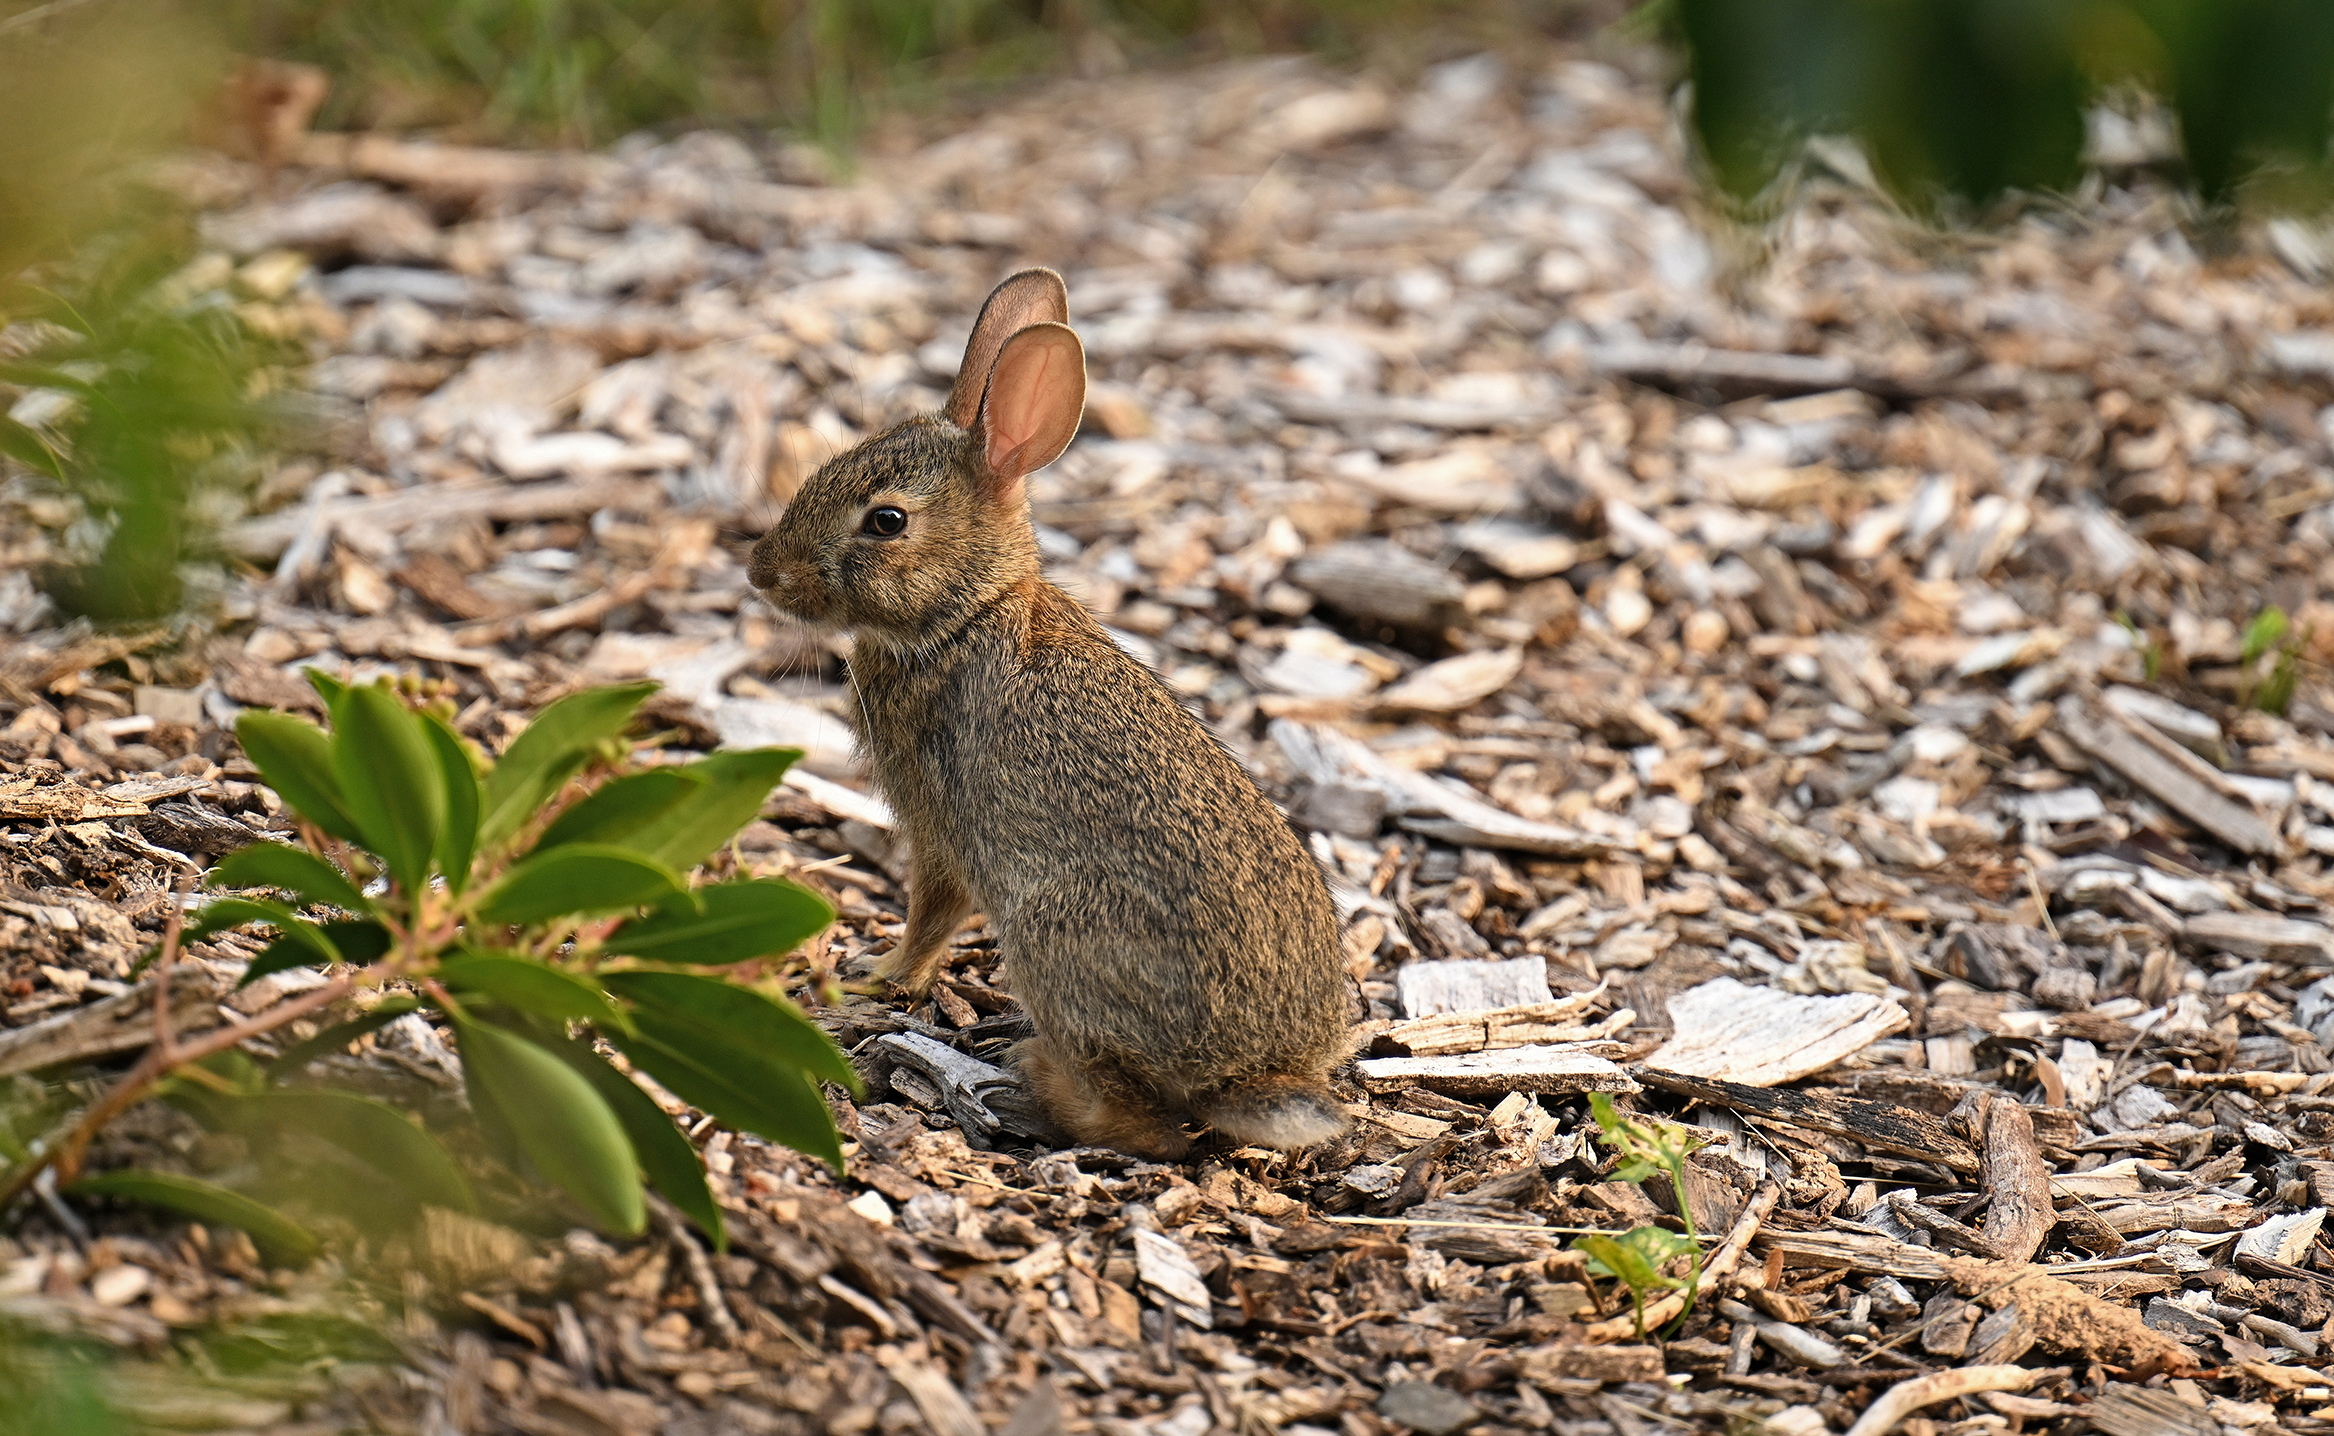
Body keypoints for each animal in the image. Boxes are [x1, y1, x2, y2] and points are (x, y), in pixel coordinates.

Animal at [748, 268, 1350, 1160]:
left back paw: (1030, 1072)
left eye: (886, 520)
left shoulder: (941, 822)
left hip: (1049, 934)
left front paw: (879, 975)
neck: (965, 614)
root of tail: (1253, 1076)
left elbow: (933, 911)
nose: (761, 572)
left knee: (1148, 1124)